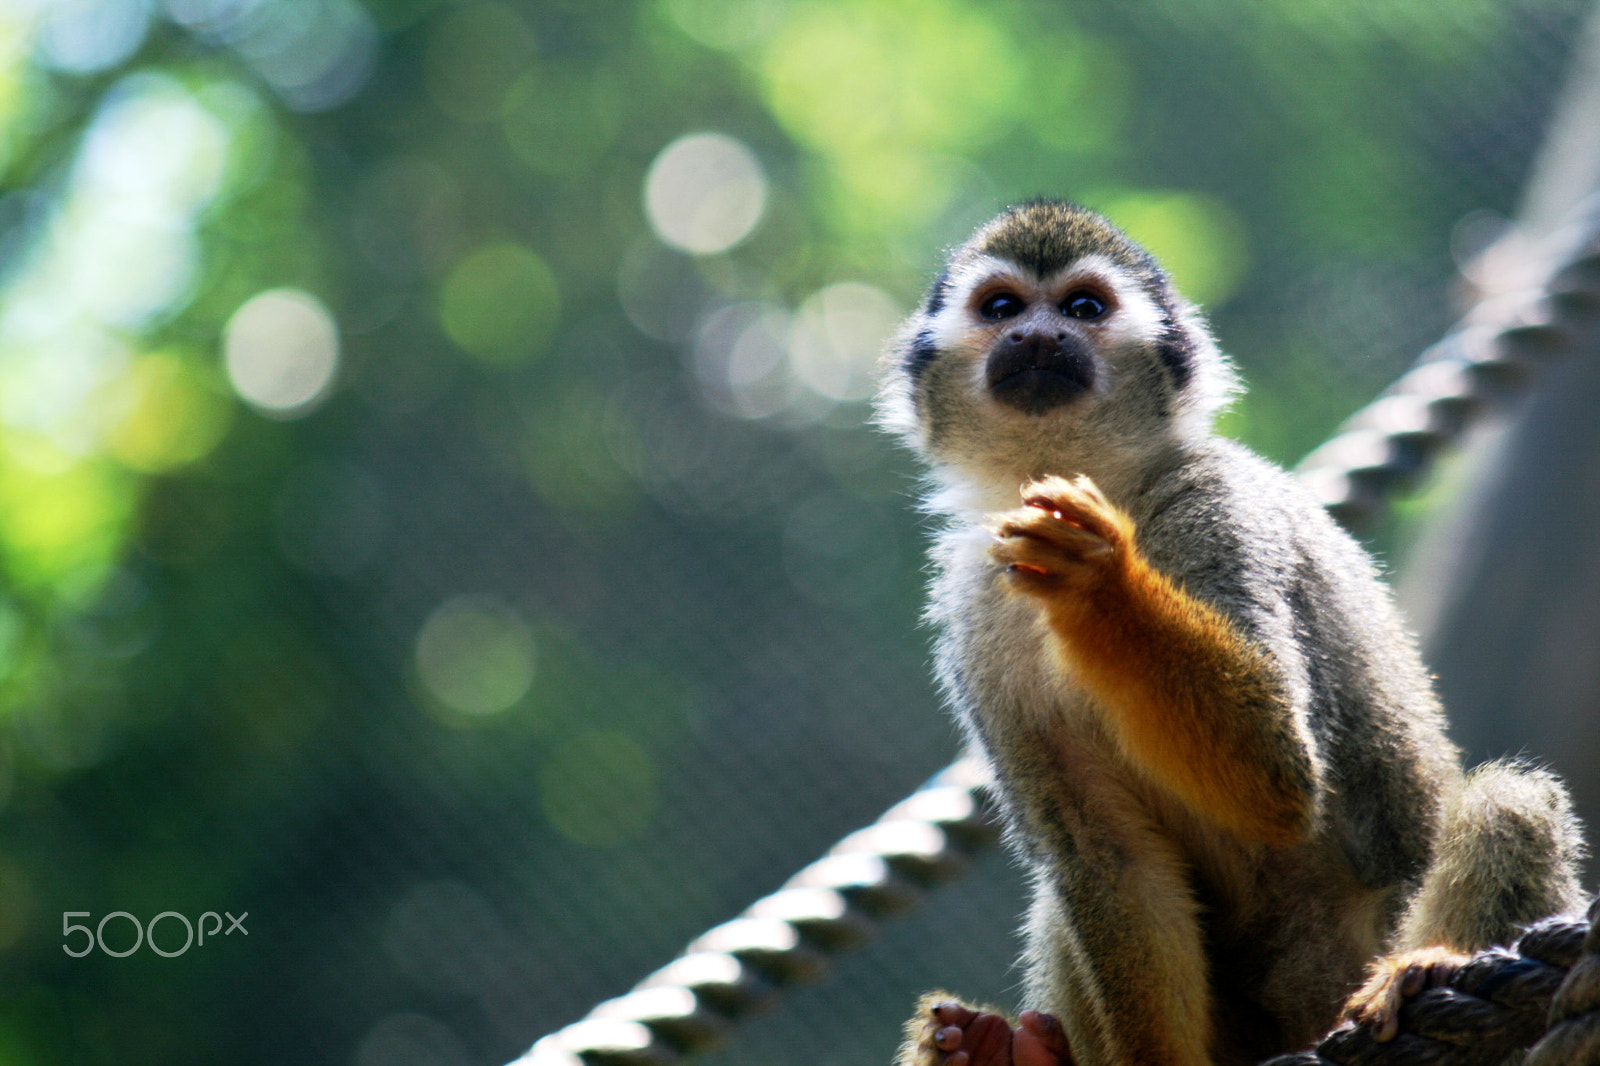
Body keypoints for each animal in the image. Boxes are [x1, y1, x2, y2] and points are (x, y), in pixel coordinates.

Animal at [875, 200, 1587, 1066]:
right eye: (1002, 307)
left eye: (1084, 307)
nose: (1038, 336)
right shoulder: (971, 600)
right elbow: (1108, 857)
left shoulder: (1219, 509)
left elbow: (1275, 774)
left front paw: (1101, 581)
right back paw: (1007, 1052)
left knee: (1506, 800)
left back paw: (1426, 968)